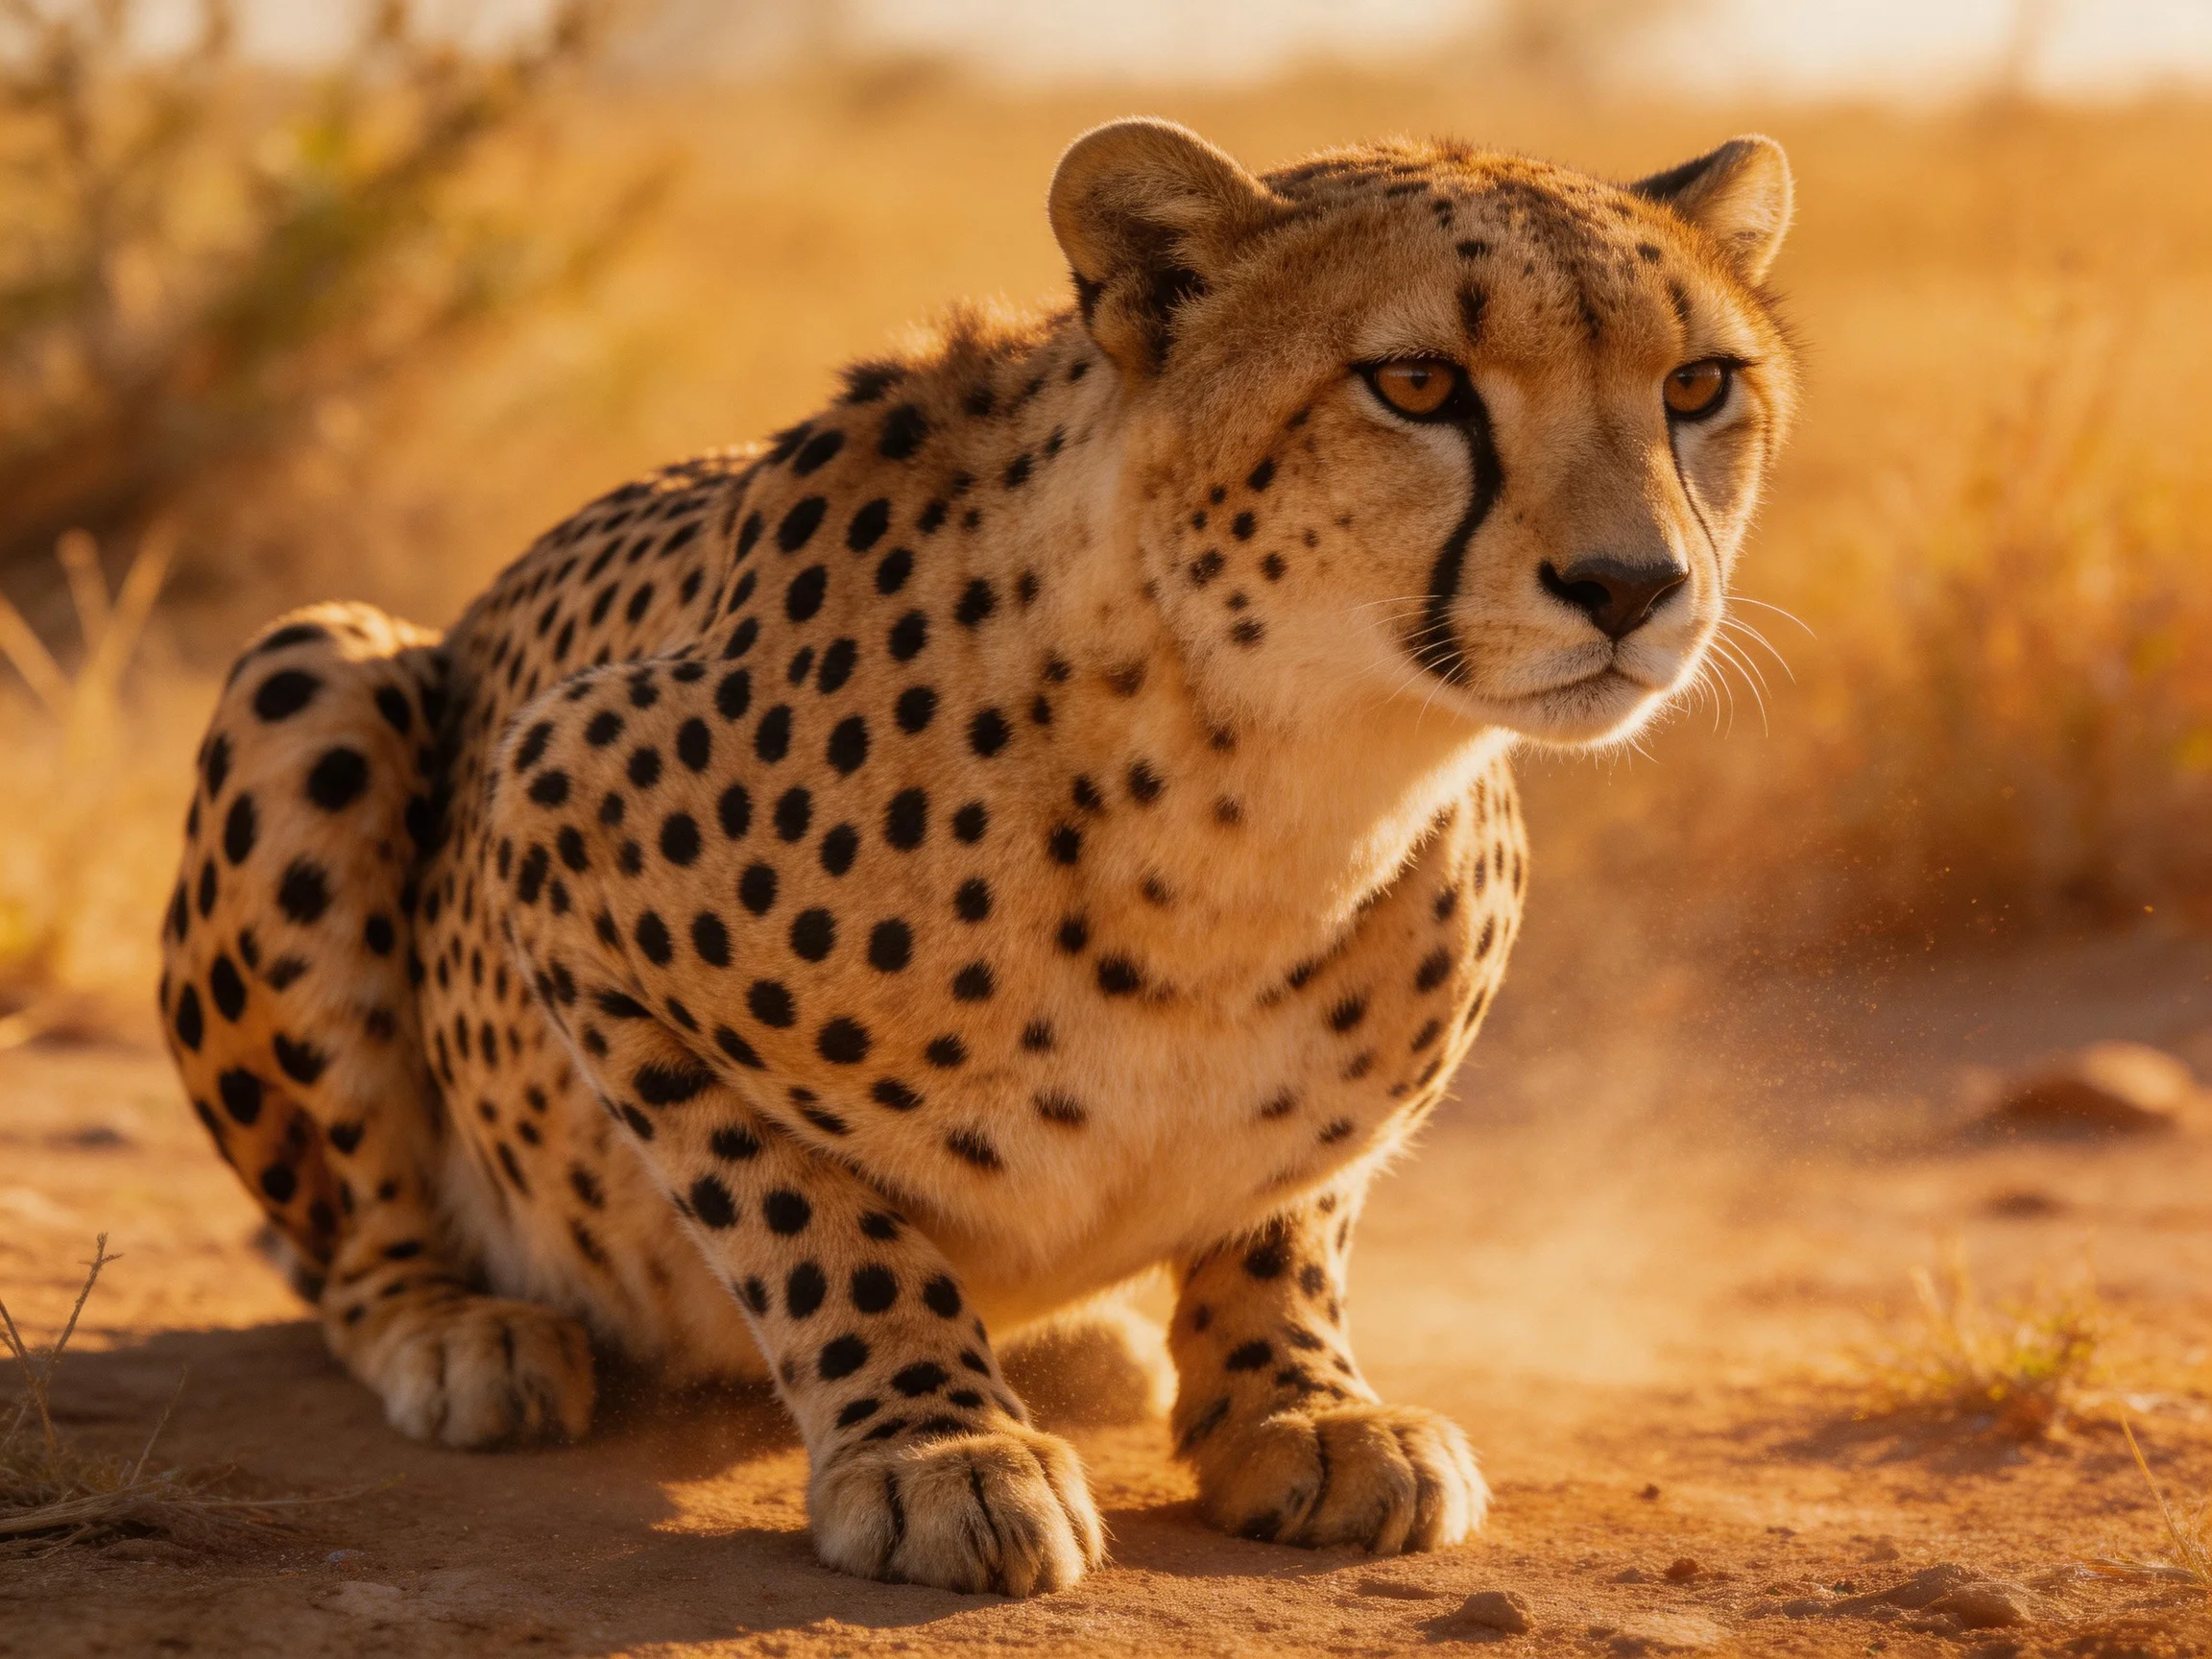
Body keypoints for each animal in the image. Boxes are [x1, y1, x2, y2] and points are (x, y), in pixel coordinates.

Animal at [157, 117, 1797, 1596]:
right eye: (1416, 385)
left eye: (1697, 385)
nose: (1631, 586)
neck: (1273, 780)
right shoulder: (554, 812)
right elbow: (802, 1208)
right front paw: (935, 1447)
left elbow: (1295, 1200)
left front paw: (1300, 1407)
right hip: (317, 671)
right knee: (358, 1237)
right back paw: (458, 1331)